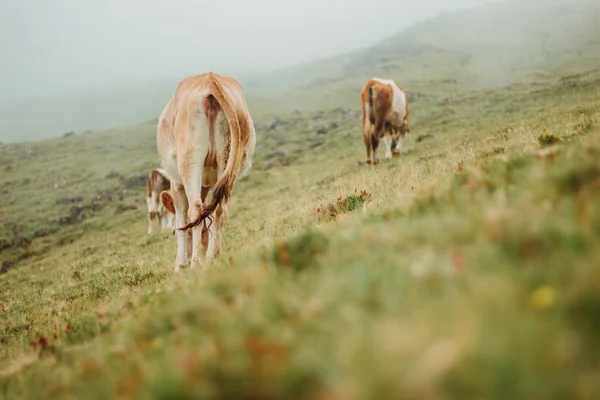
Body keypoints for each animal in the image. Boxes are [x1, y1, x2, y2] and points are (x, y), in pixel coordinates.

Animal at [155, 72, 255, 272]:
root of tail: (210, 79)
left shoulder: (176, 183)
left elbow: (181, 220)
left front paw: (180, 264)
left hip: (190, 158)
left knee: (195, 209)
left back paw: (196, 262)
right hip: (228, 156)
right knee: (220, 208)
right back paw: (213, 254)